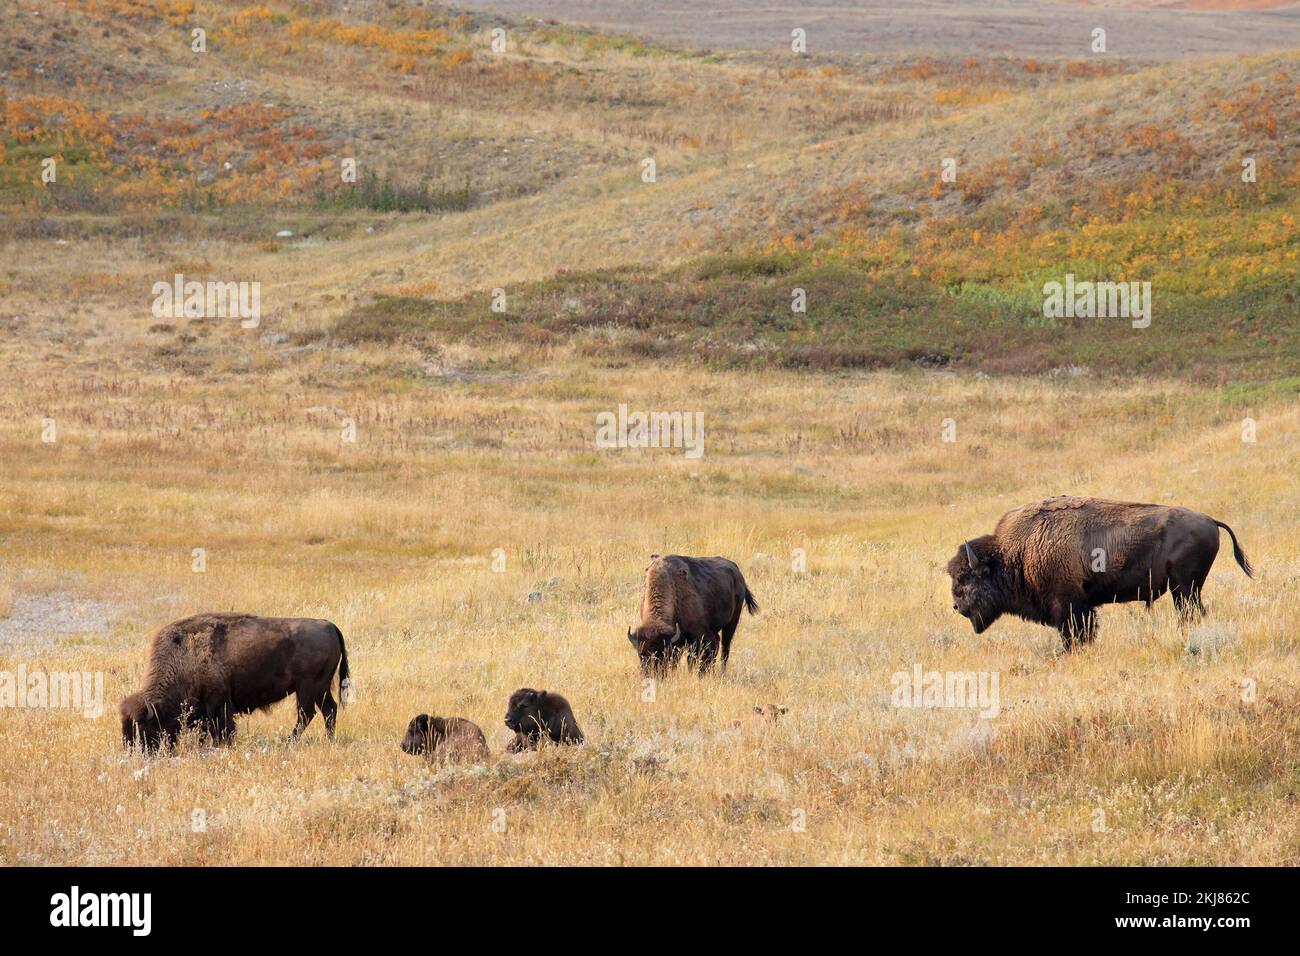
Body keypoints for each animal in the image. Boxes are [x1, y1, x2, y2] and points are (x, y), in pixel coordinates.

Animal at [116, 613, 348, 754]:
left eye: (144, 727)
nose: (137, 753)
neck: (184, 656)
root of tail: (329, 625)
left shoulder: (218, 704)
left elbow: (222, 728)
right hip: (320, 688)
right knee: (329, 709)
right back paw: (328, 740)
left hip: (307, 688)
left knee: (307, 713)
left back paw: (288, 741)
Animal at [624, 548, 759, 676]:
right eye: (640, 655)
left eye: (663, 653)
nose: (652, 673)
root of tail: (737, 572)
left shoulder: (700, 636)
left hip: (732, 622)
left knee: (725, 648)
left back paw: (722, 671)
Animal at [951, 494, 1253, 650]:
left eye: (964, 579)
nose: (956, 606)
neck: (1017, 551)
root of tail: (1209, 520)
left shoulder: (1069, 606)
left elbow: (1076, 634)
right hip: (1186, 589)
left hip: (1185, 587)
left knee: (1190, 612)